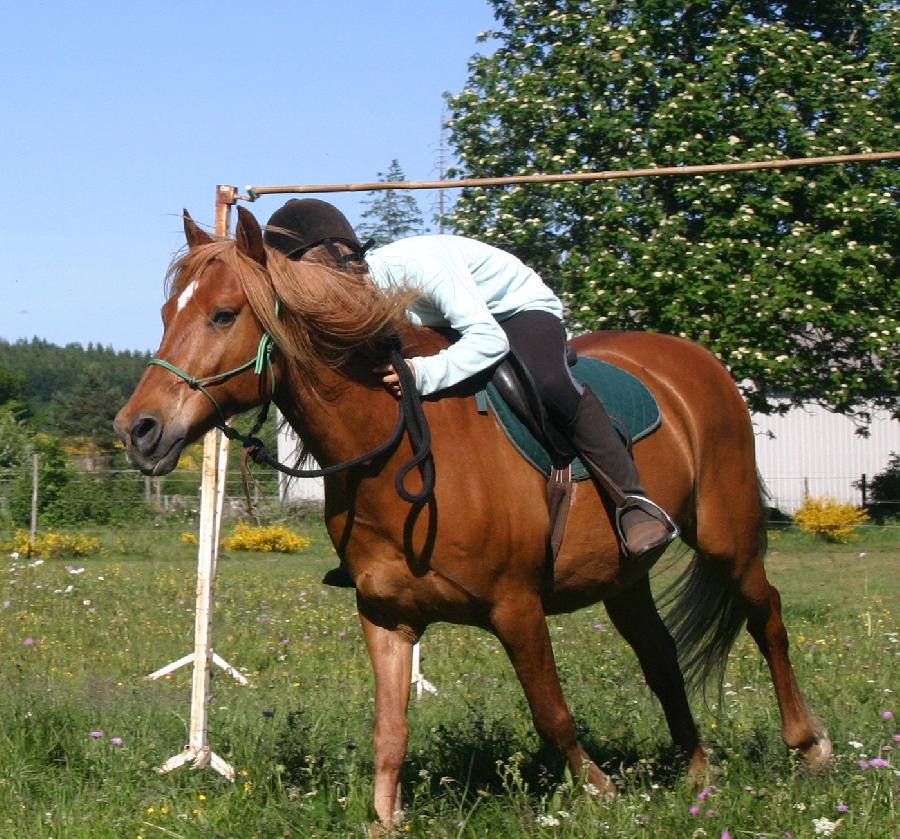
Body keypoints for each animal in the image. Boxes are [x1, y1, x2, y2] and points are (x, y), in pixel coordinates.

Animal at [118, 208, 828, 828]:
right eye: (167, 314)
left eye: (223, 314)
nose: (138, 430)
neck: (394, 445)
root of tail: (700, 362)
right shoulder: (388, 617)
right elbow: (390, 730)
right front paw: (387, 820)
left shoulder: (517, 608)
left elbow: (551, 711)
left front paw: (599, 791)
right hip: (625, 575)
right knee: (660, 655)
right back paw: (698, 770)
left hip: (727, 537)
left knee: (766, 615)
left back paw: (808, 745)